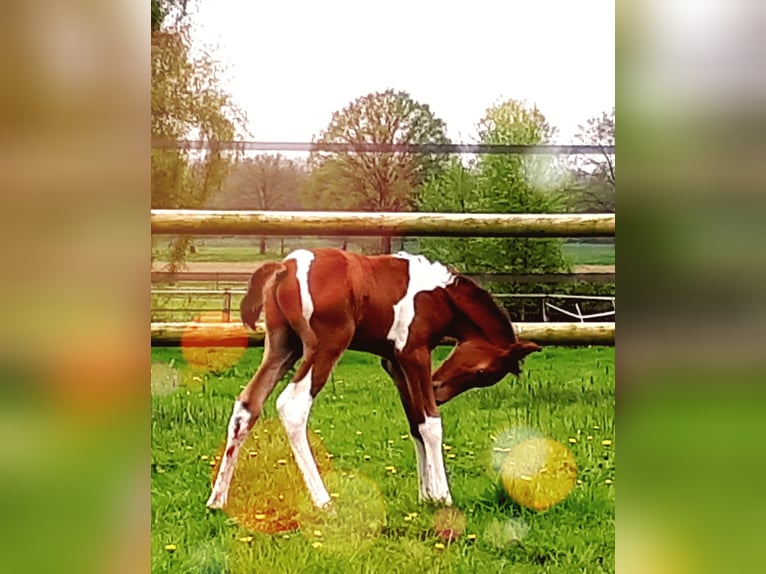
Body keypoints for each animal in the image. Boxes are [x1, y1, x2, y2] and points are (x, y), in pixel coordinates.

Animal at [204, 250, 540, 510]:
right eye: (483, 372)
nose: (438, 389)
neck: (438, 294)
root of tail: (286, 267)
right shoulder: (414, 354)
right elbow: (431, 424)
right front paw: (444, 497)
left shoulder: (393, 362)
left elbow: (415, 422)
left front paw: (426, 496)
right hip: (325, 347)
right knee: (293, 405)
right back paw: (324, 500)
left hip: (282, 347)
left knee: (247, 406)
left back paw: (217, 500)